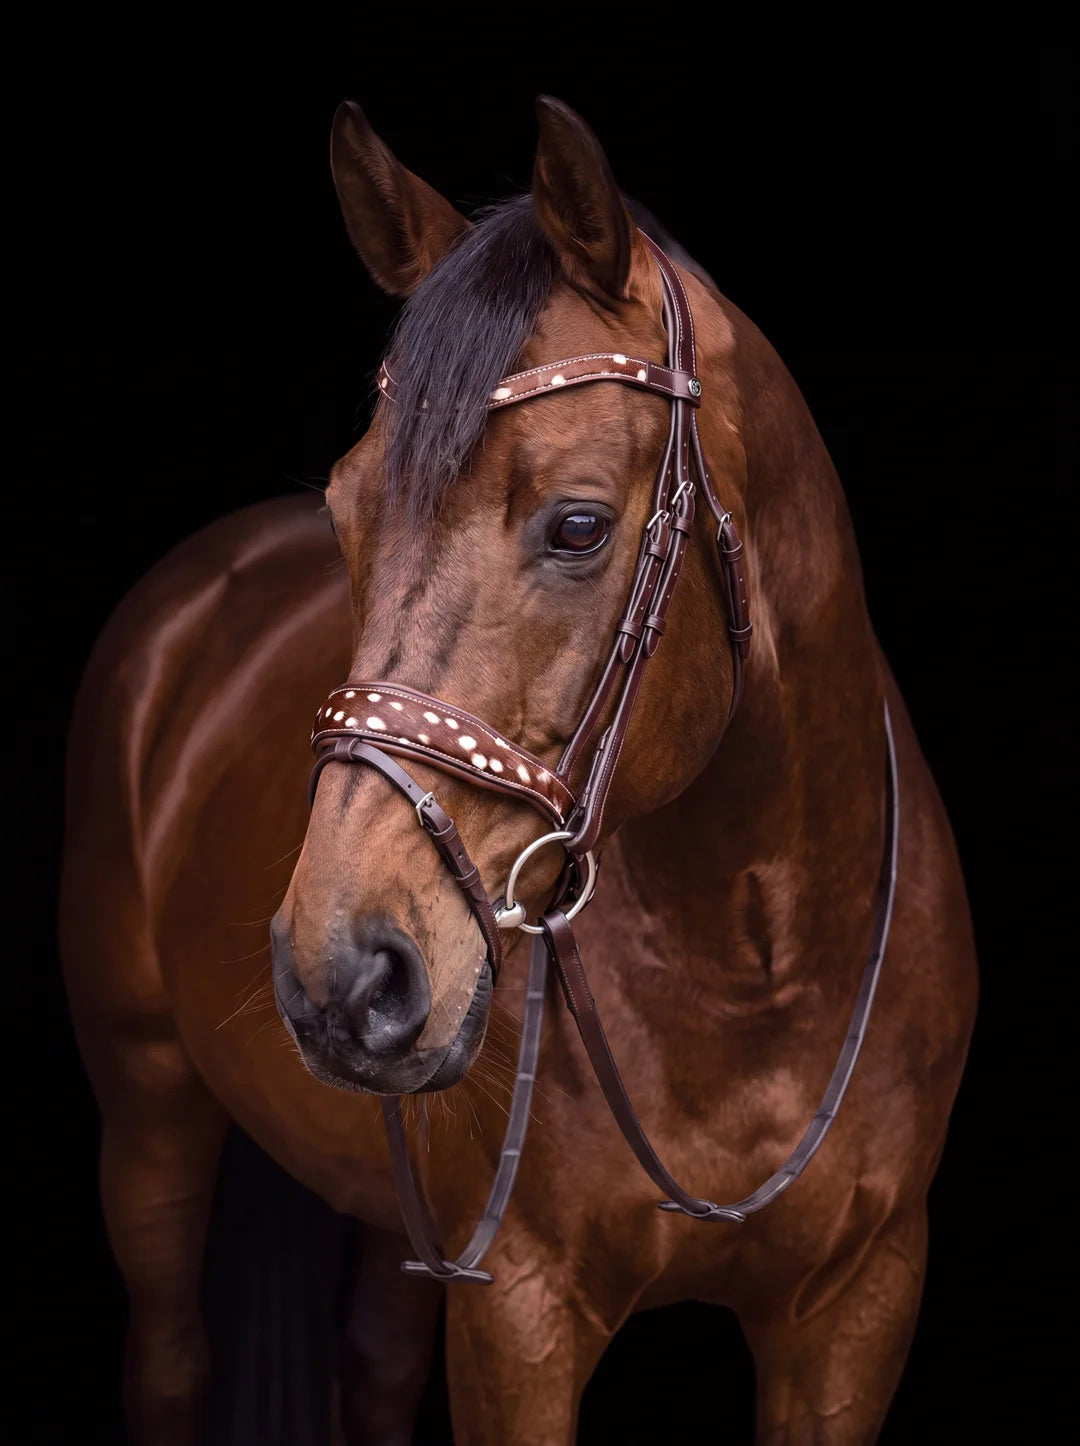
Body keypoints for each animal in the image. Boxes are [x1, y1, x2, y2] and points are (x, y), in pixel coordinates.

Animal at [60, 96, 977, 1445]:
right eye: (344, 511)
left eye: (580, 525)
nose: (342, 972)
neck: (752, 967)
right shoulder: (518, 1317)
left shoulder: (858, 1308)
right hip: (150, 1112)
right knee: (171, 1361)